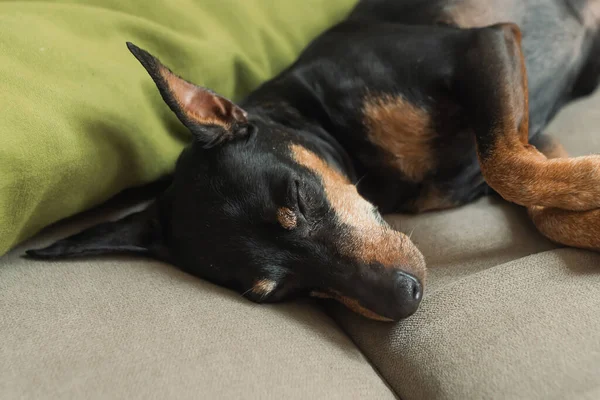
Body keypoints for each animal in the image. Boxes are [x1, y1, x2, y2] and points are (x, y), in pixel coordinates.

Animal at [25, 0, 600, 320]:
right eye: (278, 292)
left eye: (298, 197)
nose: (406, 299)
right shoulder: (534, 127)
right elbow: (540, 205)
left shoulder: (485, 44)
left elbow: (506, 165)